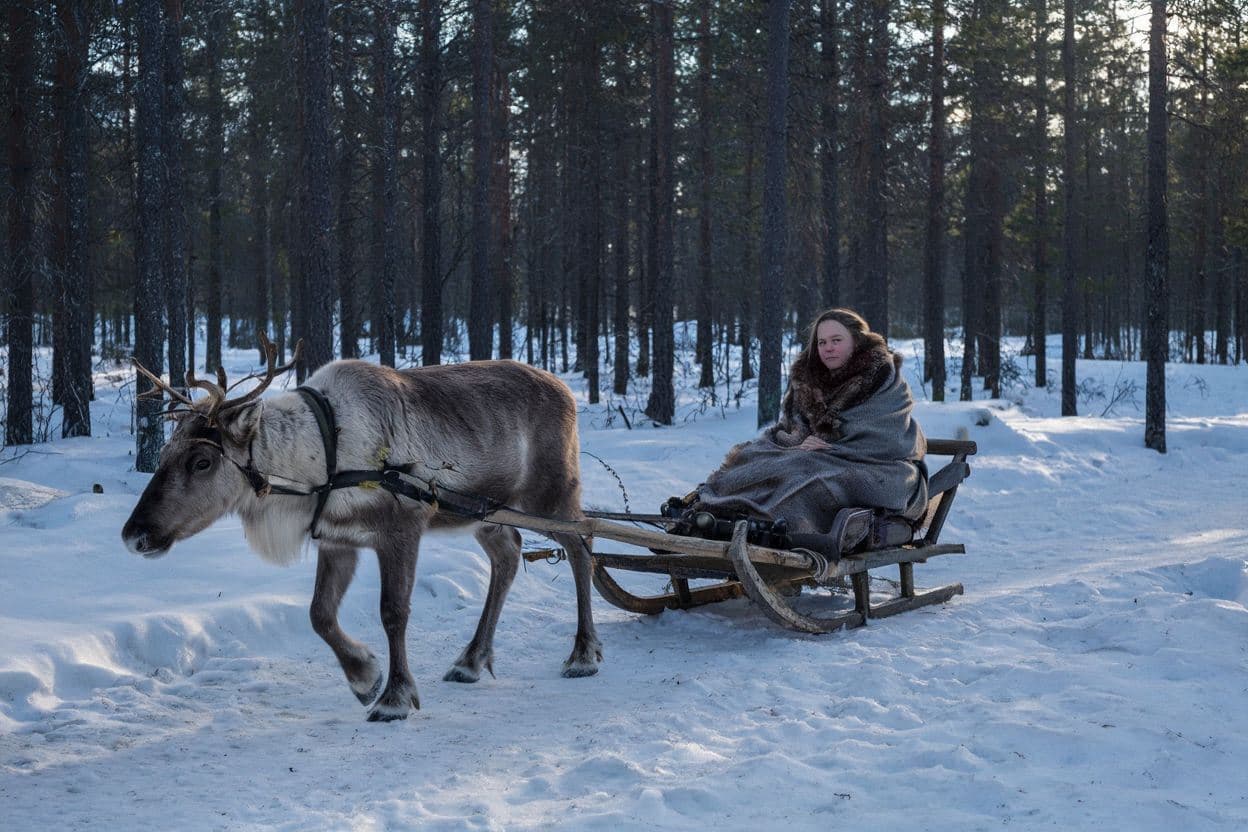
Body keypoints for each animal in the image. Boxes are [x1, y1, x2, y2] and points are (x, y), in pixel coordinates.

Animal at [122, 336, 602, 722]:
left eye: (202, 461)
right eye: (164, 453)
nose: (134, 534)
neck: (321, 460)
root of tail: (566, 390)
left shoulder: (402, 529)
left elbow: (393, 612)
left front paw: (394, 697)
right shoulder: (338, 540)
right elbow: (319, 614)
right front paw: (364, 676)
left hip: (550, 494)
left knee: (582, 546)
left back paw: (582, 655)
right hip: (486, 514)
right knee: (509, 553)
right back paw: (469, 661)